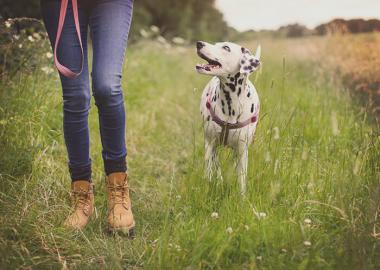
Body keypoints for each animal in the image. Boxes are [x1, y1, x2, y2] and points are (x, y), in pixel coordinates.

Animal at [196, 41, 262, 195]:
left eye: (226, 47)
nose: (199, 43)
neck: (230, 105)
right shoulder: (210, 144)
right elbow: (208, 173)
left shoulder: (242, 150)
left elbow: (241, 180)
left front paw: (242, 198)